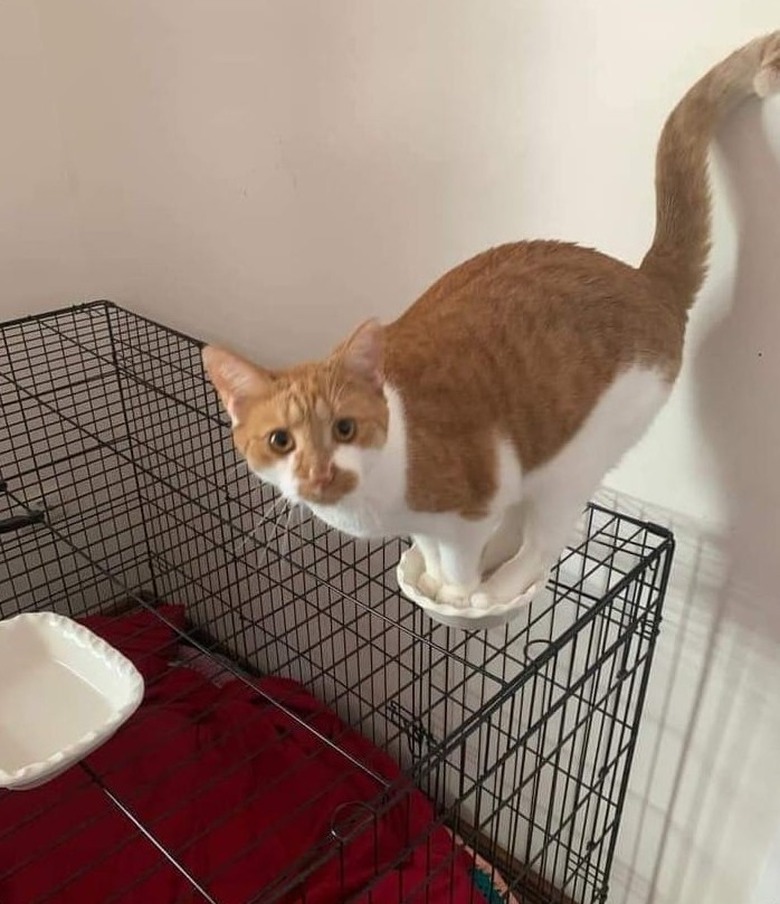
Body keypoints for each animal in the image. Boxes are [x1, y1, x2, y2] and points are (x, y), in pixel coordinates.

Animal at [203, 35, 780, 616]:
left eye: (344, 428)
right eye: (281, 441)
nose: (320, 473)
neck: (377, 494)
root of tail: (645, 277)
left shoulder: (469, 507)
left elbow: (459, 560)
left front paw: (457, 598)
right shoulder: (435, 519)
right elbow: (431, 547)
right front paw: (432, 574)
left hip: (578, 456)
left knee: (543, 540)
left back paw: (499, 586)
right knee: (520, 519)